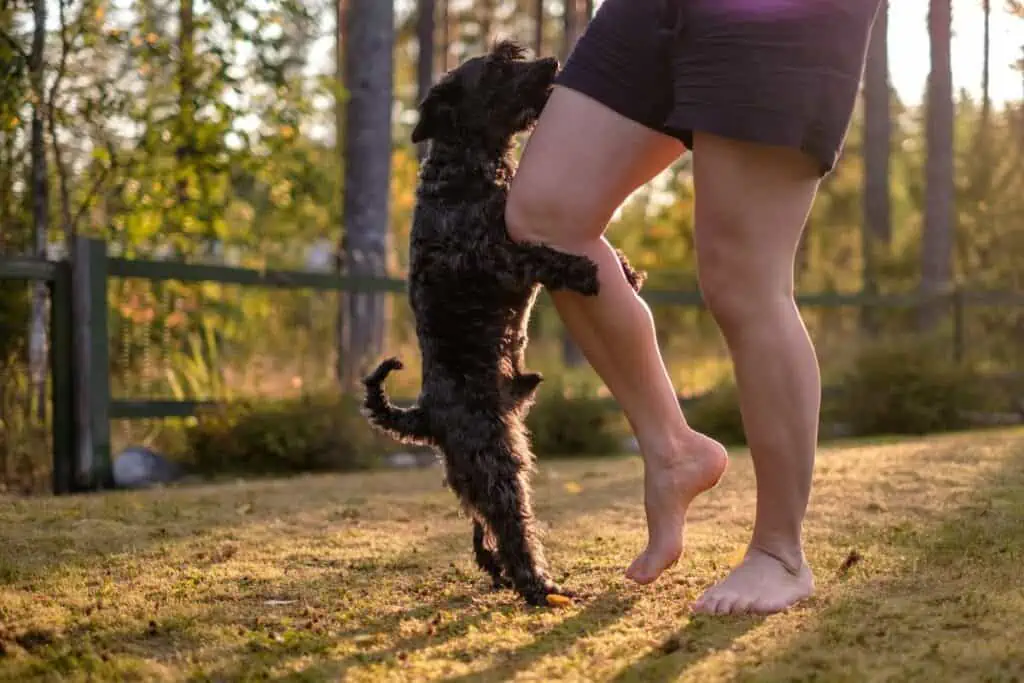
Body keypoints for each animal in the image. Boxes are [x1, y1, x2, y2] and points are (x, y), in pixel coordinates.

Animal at [364, 41, 643, 610]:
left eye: (512, 53)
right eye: (496, 67)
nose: (551, 64)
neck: (465, 171)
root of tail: (423, 415)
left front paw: (625, 270)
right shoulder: (491, 256)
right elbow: (539, 253)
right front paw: (585, 271)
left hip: (474, 473)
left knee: (482, 530)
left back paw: (500, 574)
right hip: (496, 462)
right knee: (512, 526)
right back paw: (539, 586)